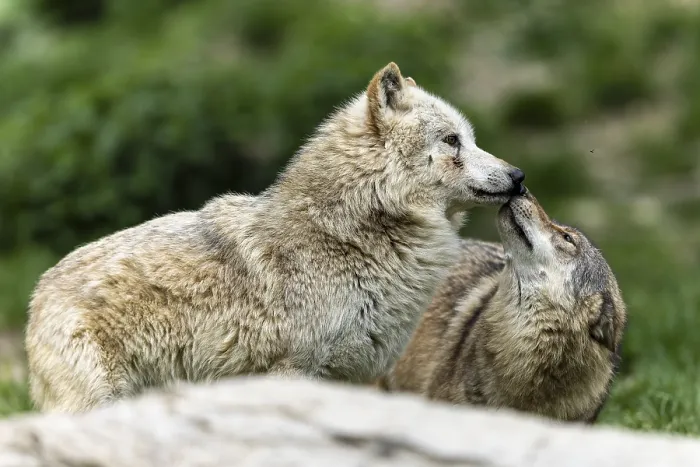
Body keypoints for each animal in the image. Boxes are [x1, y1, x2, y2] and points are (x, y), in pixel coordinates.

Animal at [25, 62, 525, 413]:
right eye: (452, 141)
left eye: (470, 138)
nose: (519, 176)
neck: (351, 234)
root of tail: (36, 293)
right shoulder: (292, 372)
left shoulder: (348, 381)